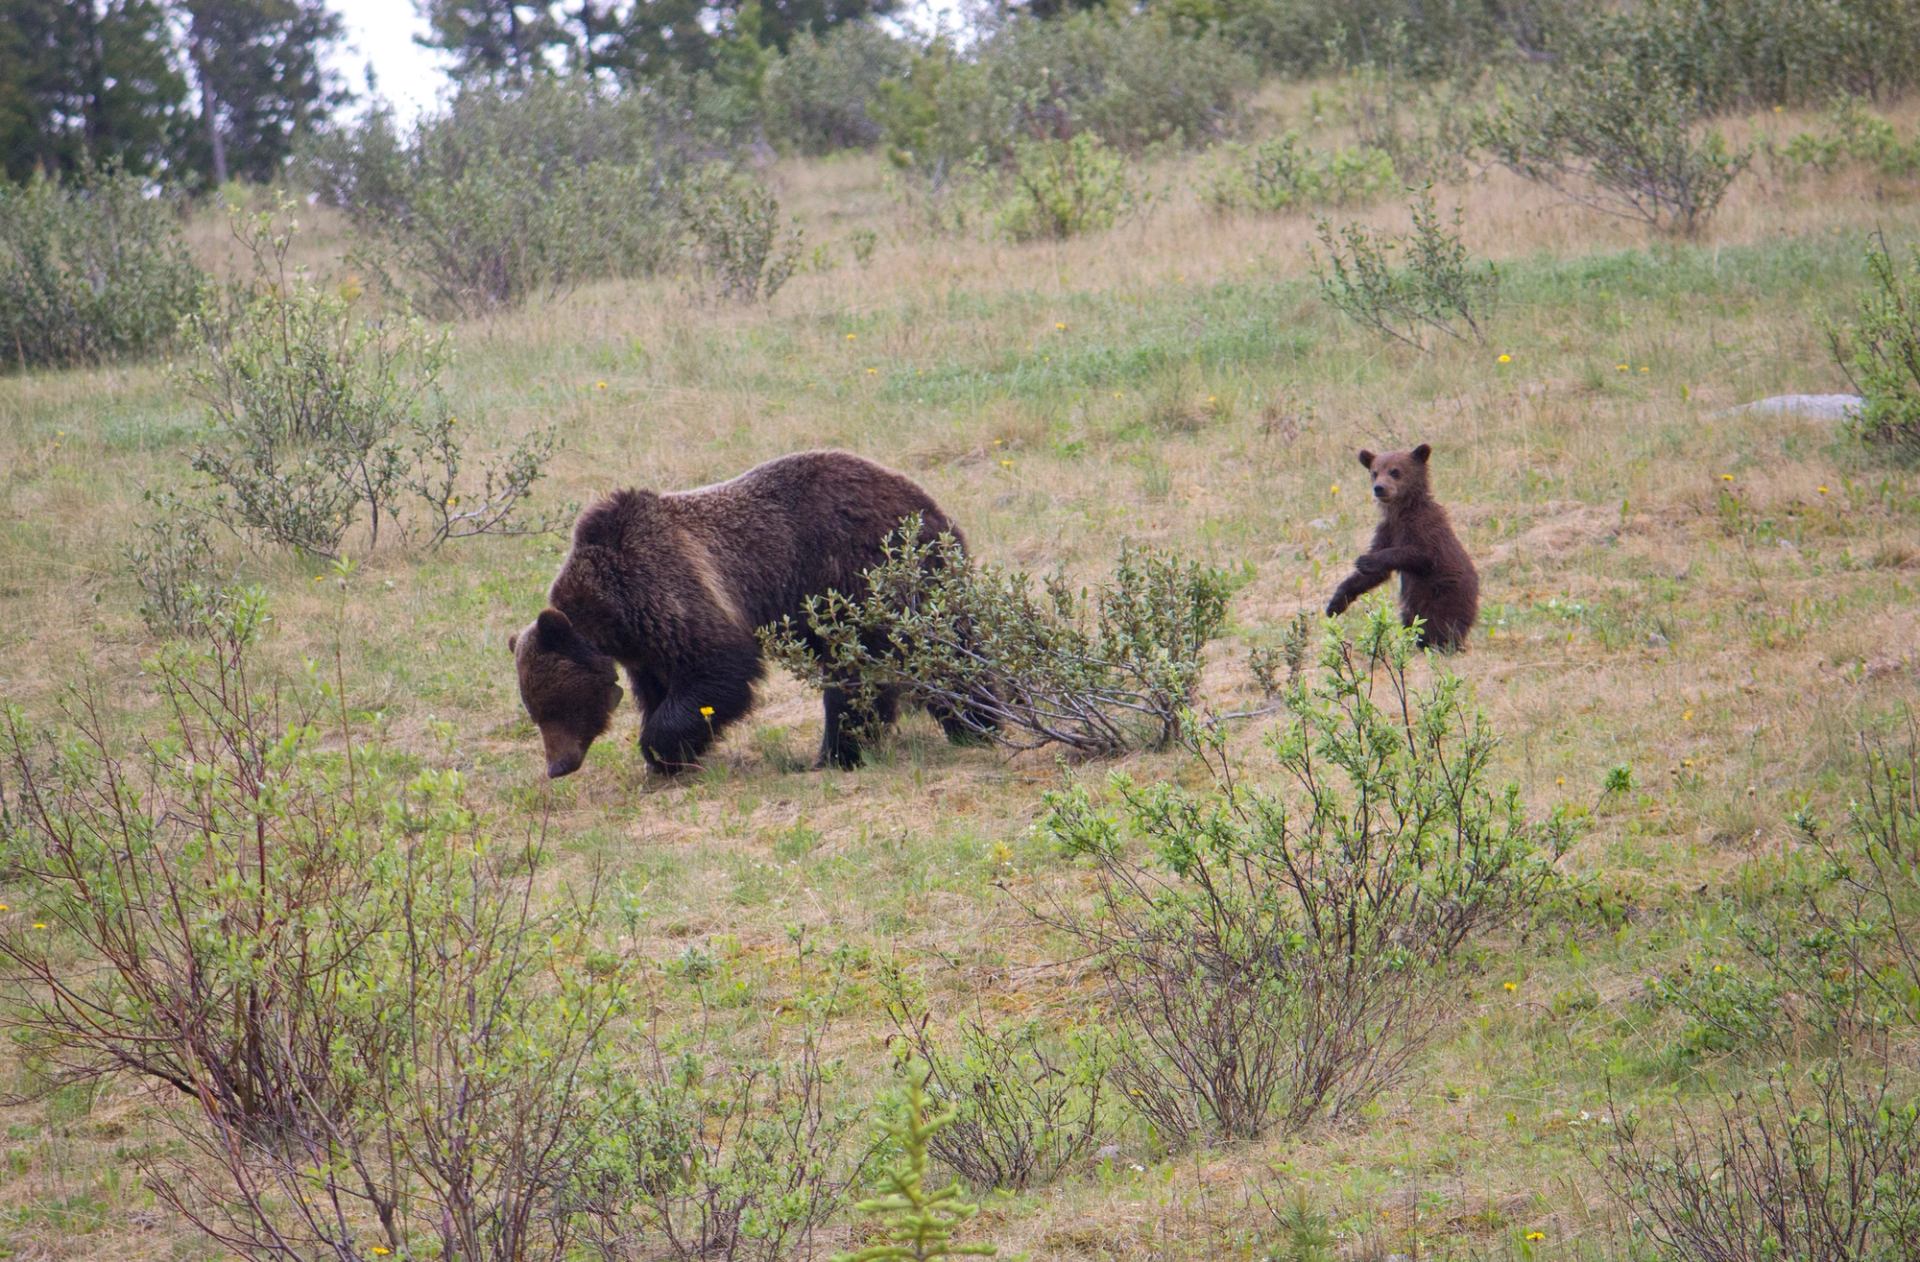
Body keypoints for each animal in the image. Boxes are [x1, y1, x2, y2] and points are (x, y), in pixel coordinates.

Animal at [506, 447, 967, 772]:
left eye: (557, 707)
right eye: (536, 711)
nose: (558, 765)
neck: (611, 613)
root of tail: (929, 504)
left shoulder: (671, 589)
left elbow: (719, 669)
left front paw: (661, 750)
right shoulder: (646, 644)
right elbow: (658, 687)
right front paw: (674, 755)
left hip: (863, 576)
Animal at [1328, 439, 1474, 649]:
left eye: (1395, 471)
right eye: (1374, 472)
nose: (1379, 488)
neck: (1402, 511)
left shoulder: (1423, 528)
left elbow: (1420, 554)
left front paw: (1365, 560)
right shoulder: (1387, 529)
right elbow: (1373, 574)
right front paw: (1336, 602)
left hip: (1444, 595)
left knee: (1441, 623)